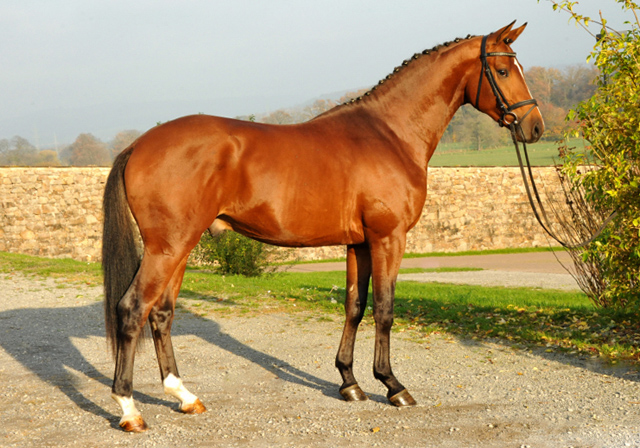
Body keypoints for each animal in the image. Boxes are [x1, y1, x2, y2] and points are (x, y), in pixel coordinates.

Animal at [102, 21, 544, 430]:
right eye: (503, 70)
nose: (535, 126)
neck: (390, 134)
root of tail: (138, 145)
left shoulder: (359, 244)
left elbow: (355, 306)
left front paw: (350, 383)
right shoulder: (389, 239)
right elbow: (385, 309)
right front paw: (393, 386)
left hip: (181, 246)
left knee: (160, 314)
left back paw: (185, 396)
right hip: (168, 246)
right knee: (132, 309)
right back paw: (130, 410)